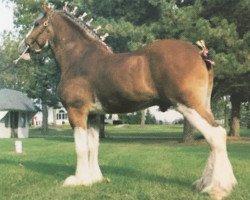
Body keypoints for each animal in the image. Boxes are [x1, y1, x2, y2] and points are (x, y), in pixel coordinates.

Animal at [18, 4, 235, 200]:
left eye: (37, 24)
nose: (24, 45)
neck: (79, 58)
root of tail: (200, 52)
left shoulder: (76, 112)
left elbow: (80, 147)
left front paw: (79, 180)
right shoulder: (94, 116)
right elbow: (93, 146)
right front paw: (94, 179)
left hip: (189, 105)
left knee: (216, 135)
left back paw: (217, 188)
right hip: (201, 105)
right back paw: (207, 183)